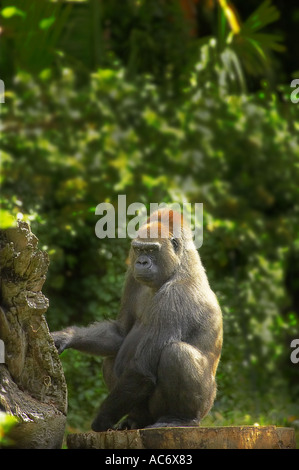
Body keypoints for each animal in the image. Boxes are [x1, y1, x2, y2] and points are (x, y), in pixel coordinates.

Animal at [52, 208, 224, 430]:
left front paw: (101, 420)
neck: (180, 265)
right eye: (139, 249)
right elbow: (120, 333)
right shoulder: (132, 277)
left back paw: (181, 418)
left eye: (151, 250)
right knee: (111, 359)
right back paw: (137, 419)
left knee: (176, 354)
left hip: (204, 408)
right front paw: (66, 336)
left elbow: (141, 370)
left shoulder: (176, 295)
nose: (141, 262)